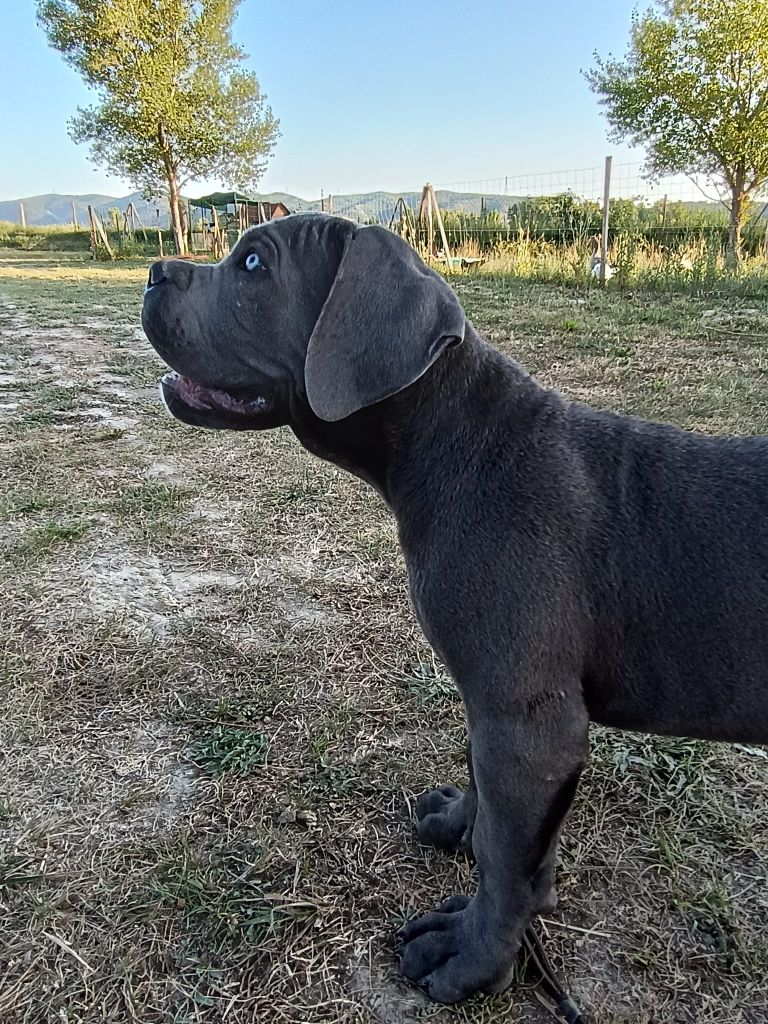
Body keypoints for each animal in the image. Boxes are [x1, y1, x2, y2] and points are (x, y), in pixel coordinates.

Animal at [141, 211, 768, 1003]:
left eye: (253, 262)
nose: (153, 271)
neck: (453, 442)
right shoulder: (499, 712)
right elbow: (491, 804)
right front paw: (463, 831)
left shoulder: (528, 722)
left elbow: (504, 859)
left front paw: (472, 958)